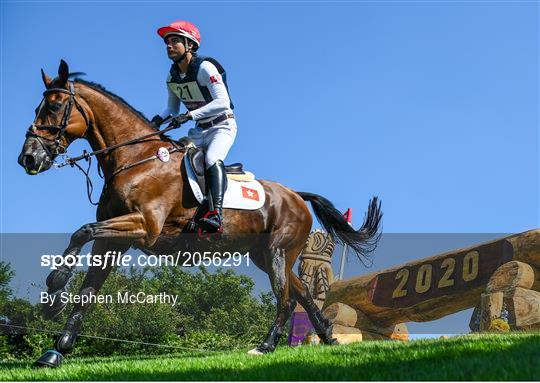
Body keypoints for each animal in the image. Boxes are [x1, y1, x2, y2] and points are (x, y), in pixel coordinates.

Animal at [19, 60, 382, 368]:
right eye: (38, 107)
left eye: (54, 106)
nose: (28, 158)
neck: (135, 160)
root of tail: (296, 195)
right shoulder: (114, 242)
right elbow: (88, 289)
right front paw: (56, 350)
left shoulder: (144, 227)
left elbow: (82, 231)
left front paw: (53, 291)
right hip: (264, 254)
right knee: (302, 294)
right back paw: (327, 338)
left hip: (279, 251)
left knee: (286, 298)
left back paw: (265, 346)